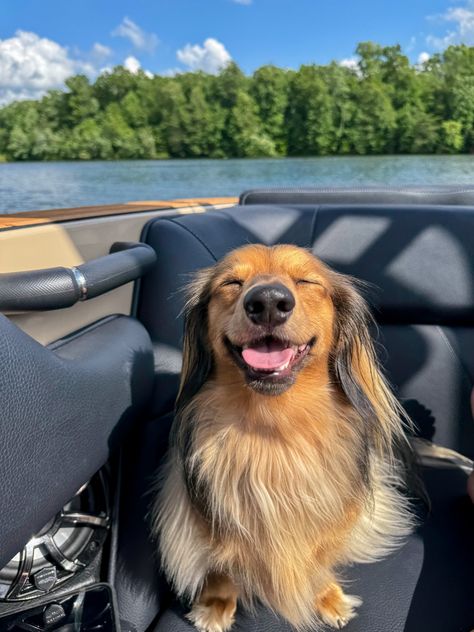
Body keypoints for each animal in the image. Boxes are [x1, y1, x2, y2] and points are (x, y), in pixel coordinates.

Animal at [153, 244, 414, 628]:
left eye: (306, 281)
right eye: (231, 283)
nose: (267, 302)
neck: (273, 429)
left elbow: (319, 556)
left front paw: (327, 596)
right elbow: (222, 569)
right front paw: (215, 606)